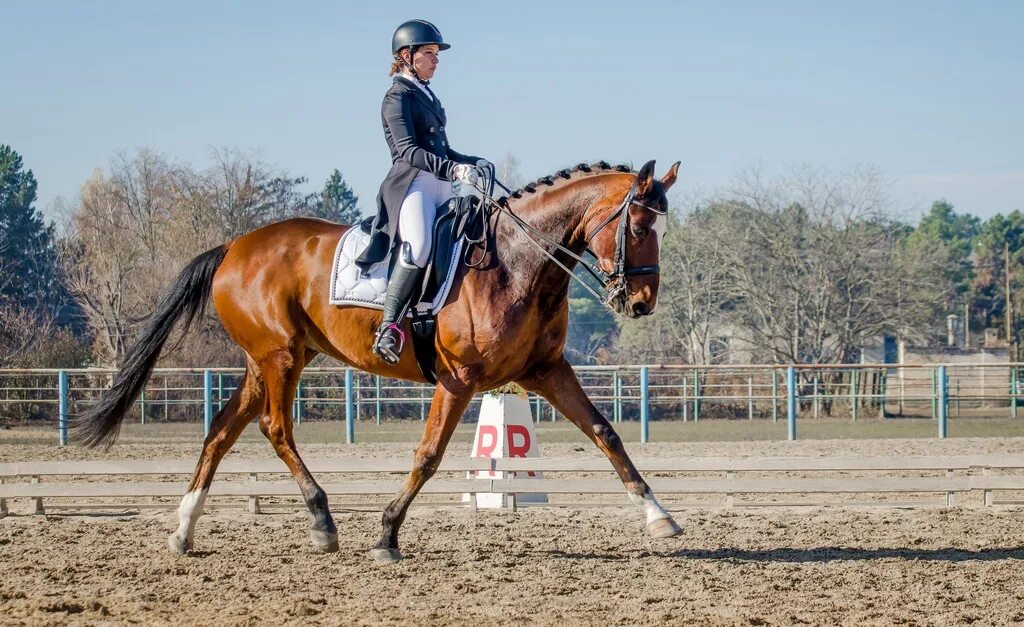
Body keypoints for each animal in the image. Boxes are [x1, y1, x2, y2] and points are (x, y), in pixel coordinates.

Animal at [72, 156, 679, 561]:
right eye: (639, 226)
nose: (642, 302)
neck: (516, 262)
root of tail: (233, 247)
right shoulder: (459, 379)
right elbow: (428, 456)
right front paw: (387, 535)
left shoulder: (546, 371)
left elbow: (605, 433)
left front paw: (661, 517)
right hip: (280, 356)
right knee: (274, 428)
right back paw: (322, 521)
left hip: (266, 360)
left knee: (222, 429)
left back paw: (184, 530)